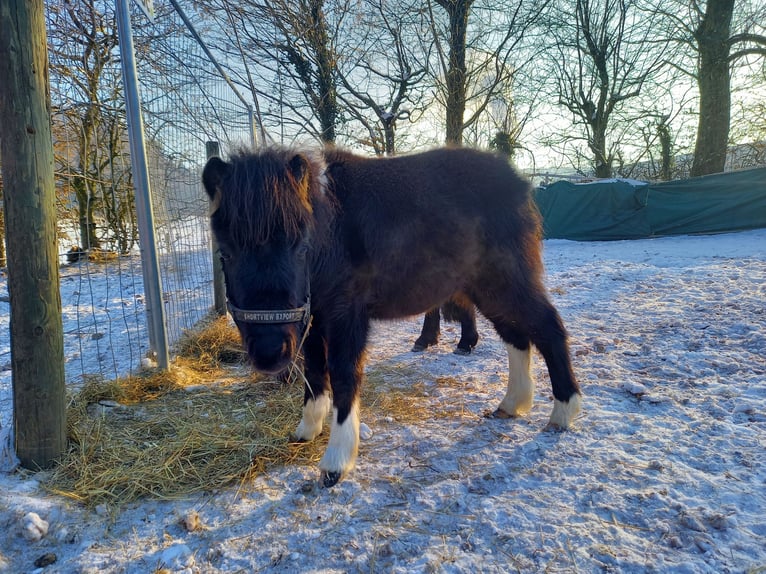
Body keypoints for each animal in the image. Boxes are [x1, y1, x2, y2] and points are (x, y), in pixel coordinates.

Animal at [203, 146, 582, 487]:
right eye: (226, 252)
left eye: (301, 246)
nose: (268, 354)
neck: (331, 229)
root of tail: (517, 182)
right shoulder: (312, 318)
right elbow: (314, 373)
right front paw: (307, 429)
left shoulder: (346, 314)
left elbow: (344, 375)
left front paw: (336, 463)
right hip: (486, 289)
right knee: (516, 336)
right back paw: (513, 404)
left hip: (507, 281)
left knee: (547, 329)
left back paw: (563, 412)